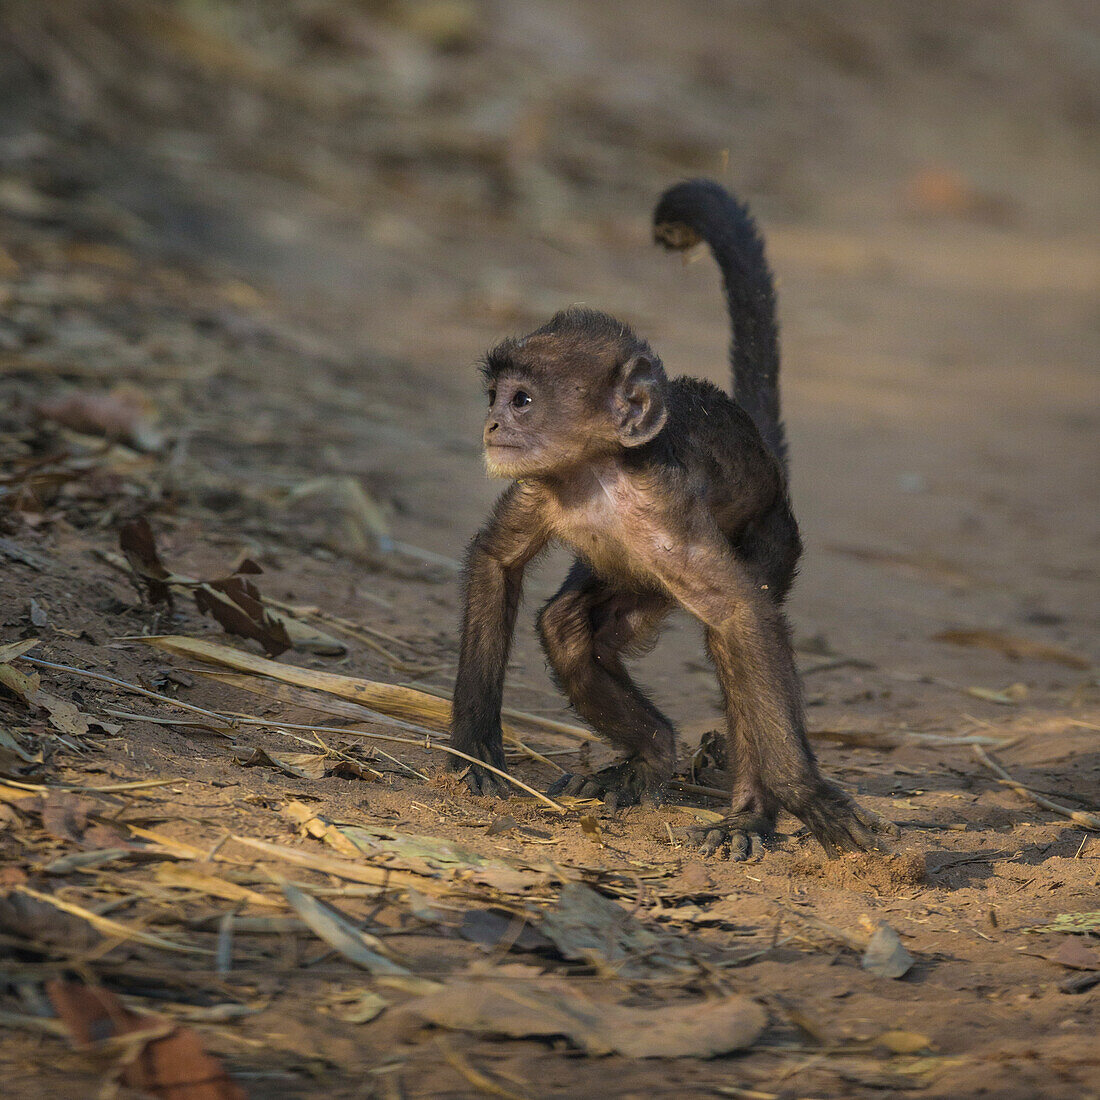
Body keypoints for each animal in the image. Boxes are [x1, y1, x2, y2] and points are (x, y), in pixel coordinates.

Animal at [451, 178, 897, 858]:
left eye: (522, 400)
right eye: (494, 397)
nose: (493, 425)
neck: (599, 478)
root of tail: (766, 459)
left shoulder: (668, 505)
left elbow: (741, 616)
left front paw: (807, 798)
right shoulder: (543, 485)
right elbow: (495, 559)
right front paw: (476, 749)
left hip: (775, 534)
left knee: (734, 630)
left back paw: (747, 815)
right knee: (566, 625)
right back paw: (651, 755)